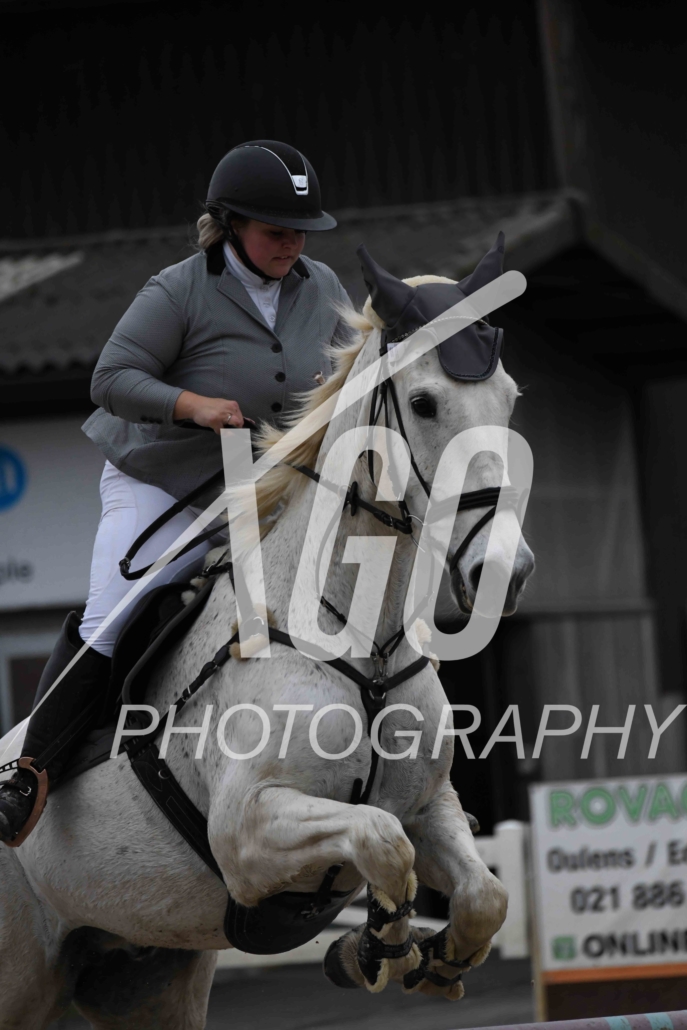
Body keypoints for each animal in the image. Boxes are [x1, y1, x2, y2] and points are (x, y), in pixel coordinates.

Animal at [0, 254, 535, 1029]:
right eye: (426, 403)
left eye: (509, 399)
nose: (505, 572)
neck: (359, 646)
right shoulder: (246, 836)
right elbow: (381, 841)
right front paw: (374, 947)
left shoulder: (430, 806)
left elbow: (478, 891)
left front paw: (432, 959)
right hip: (21, 975)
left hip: (145, 978)